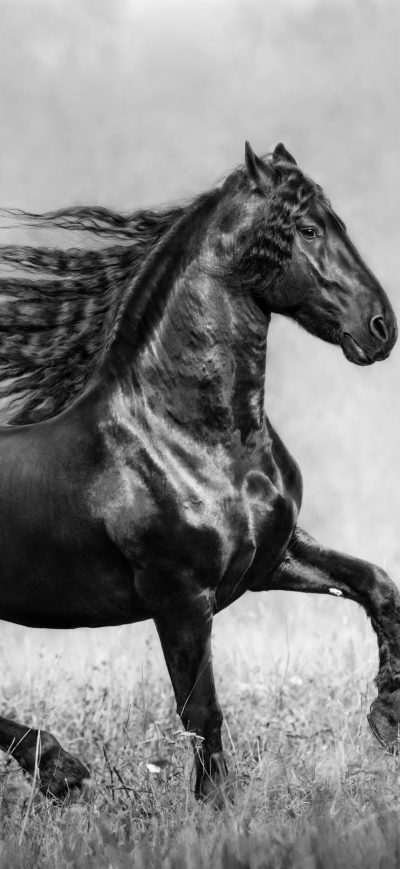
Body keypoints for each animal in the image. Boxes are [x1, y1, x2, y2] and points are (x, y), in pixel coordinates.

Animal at [0, 141, 399, 801]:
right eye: (309, 229)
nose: (382, 328)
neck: (188, 438)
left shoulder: (271, 559)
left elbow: (377, 584)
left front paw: (387, 716)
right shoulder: (181, 596)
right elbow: (200, 711)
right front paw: (217, 807)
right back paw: (60, 768)